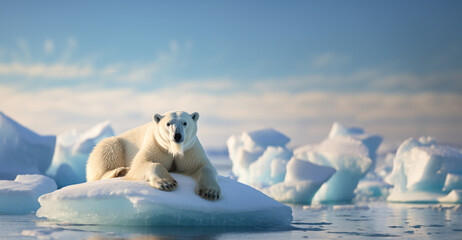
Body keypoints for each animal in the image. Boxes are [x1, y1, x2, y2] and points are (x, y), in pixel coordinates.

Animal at [88, 111, 222, 201]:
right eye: (168, 123)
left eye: (185, 123)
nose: (177, 135)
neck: (174, 149)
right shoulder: (156, 145)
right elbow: (141, 164)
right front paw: (166, 183)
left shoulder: (190, 150)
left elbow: (202, 166)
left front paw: (210, 192)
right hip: (112, 146)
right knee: (106, 153)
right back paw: (120, 170)